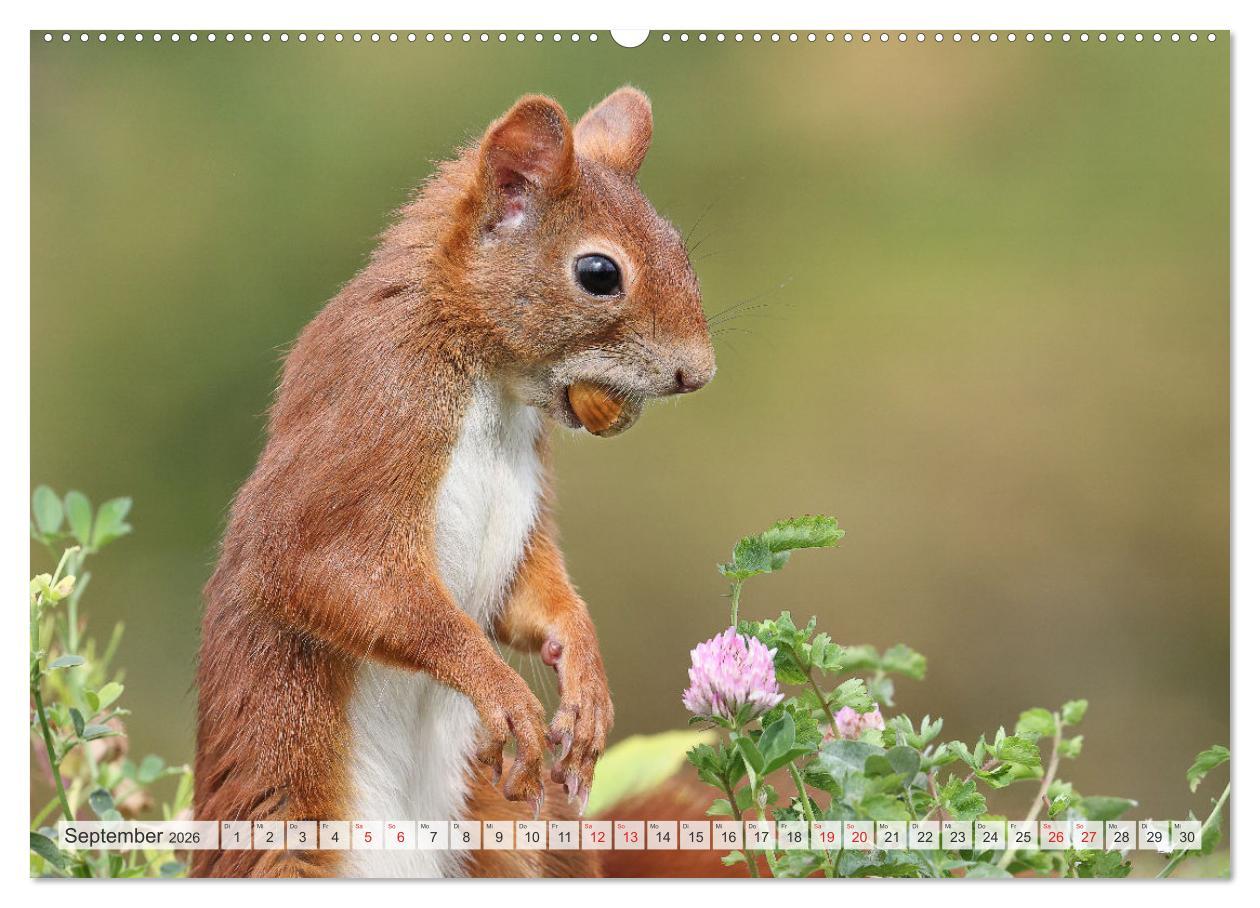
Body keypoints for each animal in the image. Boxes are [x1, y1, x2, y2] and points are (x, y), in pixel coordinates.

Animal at [193, 87, 715, 878]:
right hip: (283, 839)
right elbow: (321, 570)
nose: (699, 372)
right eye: (599, 273)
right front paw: (500, 689)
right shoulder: (375, 409)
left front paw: (585, 675)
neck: (489, 378)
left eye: (679, 245)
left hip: (524, 826)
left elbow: (533, 593)